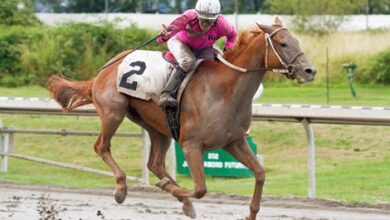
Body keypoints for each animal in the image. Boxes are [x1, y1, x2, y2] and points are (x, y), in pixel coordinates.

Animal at [47, 18, 316, 219]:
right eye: (283, 43)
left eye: (296, 41)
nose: (309, 70)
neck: (225, 89)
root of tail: (104, 69)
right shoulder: (191, 145)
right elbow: (201, 189)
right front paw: (171, 188)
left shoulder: (234, 141)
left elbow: (260, 174)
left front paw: (250, 213)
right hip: (113, 112)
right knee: (101, 146)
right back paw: (122, 188)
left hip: (158, 127)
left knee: (154, 163)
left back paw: (177, 197)